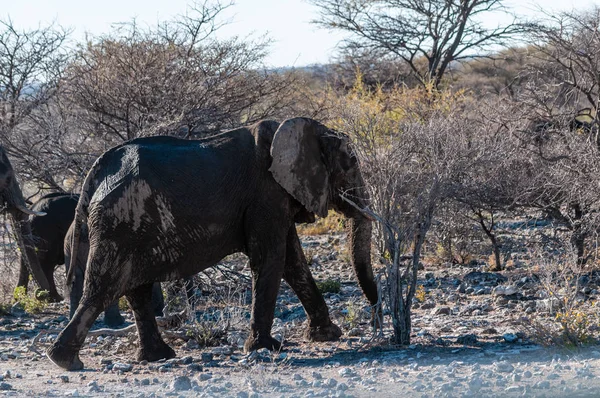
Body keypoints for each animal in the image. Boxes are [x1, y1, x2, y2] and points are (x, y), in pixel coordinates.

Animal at [48, 117, 376, 370]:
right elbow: (270, 259)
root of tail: (97, 171)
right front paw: (266, 347)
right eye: (352, 163)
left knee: (134, 289)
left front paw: (328, 335)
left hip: (127, 224)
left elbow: (294, 262)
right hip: (119, 220)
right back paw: (66, 362)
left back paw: (156, 357)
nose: (376, 316)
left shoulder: (277, 198)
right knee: (102, 289)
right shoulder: (266, 195)